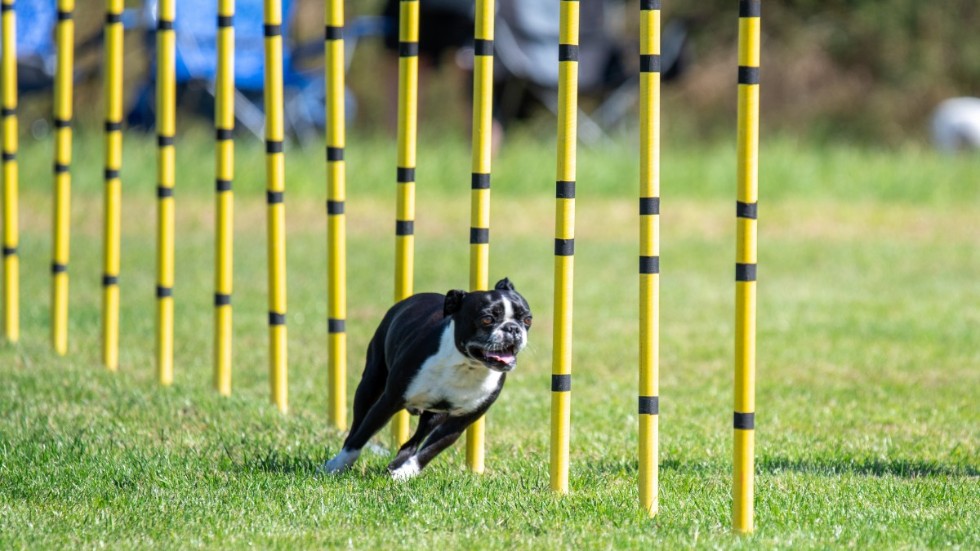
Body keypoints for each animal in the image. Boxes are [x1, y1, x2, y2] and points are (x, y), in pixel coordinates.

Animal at [322, 278, 532, 480]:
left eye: (527, 319)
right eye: (487, 319)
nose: (513, 328)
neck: (466, 365)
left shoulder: (461, 421)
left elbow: (431, 449)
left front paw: (406, 472)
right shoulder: (390, 401)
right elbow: (363, 435)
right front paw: (337, 466)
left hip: (434, 415)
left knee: (414, 441)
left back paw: (397, 465)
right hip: (371, 384)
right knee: (358, 425)